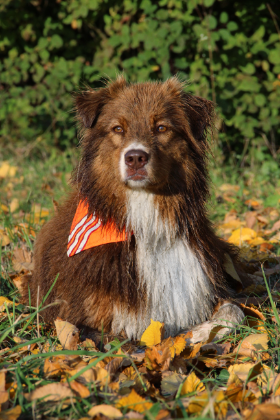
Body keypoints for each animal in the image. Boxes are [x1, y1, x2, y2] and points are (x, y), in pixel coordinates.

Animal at [23, 74, 244, 338]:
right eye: (118, 129)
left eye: (161, 128)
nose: (135, 158)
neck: (146, 224)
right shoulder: (77, 320)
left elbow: (234, 312)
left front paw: (199, 333)